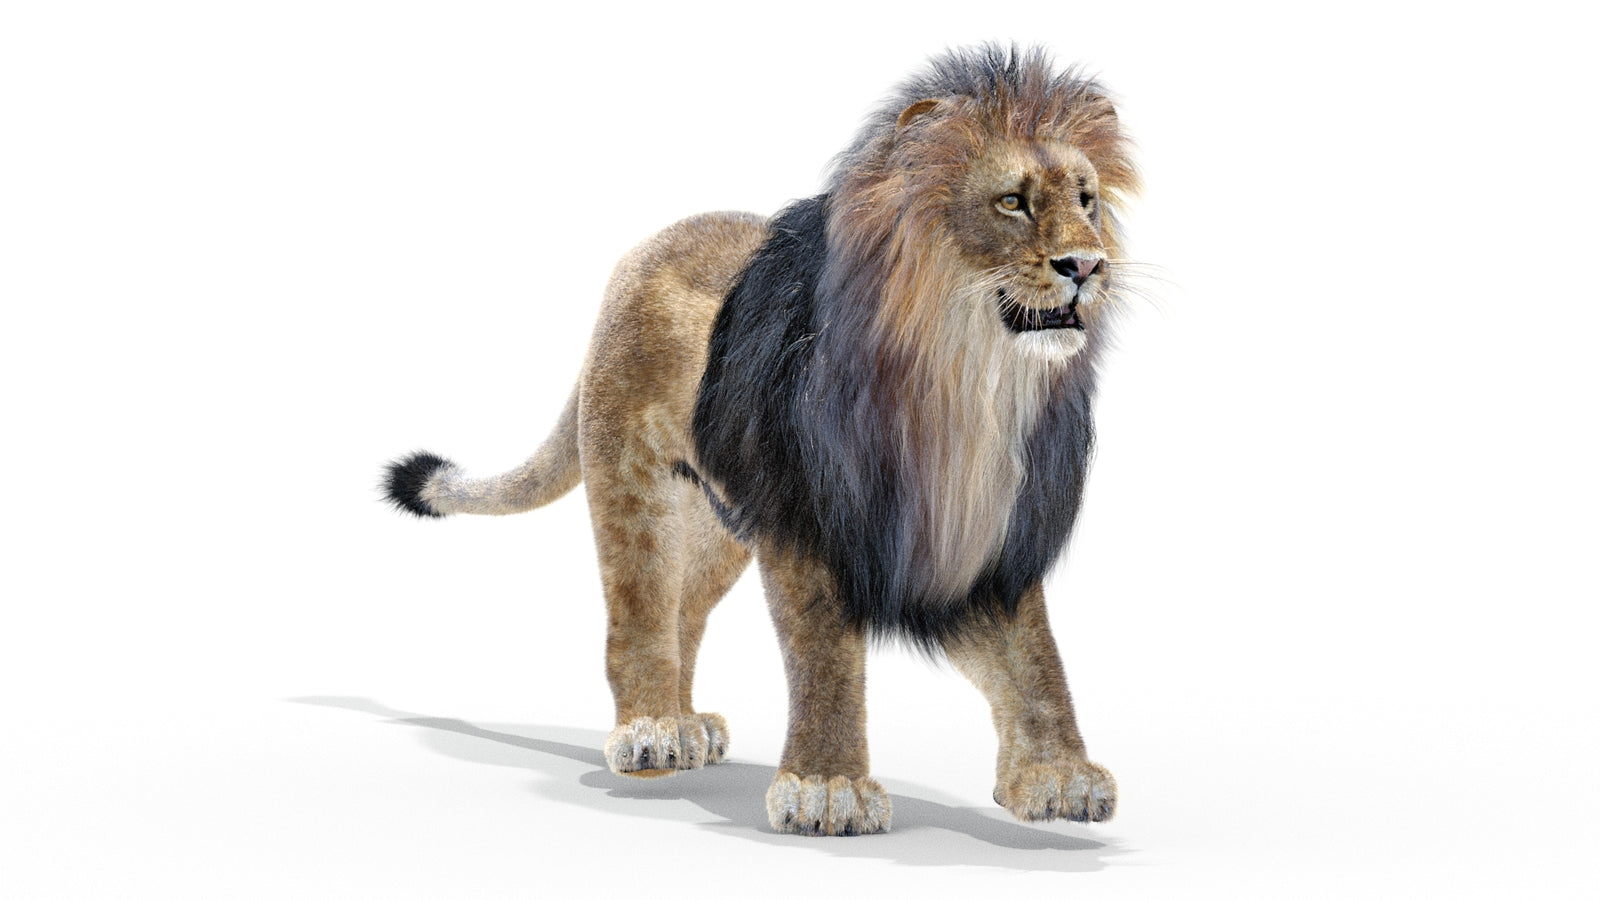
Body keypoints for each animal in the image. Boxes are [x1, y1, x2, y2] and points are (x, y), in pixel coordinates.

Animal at [382, 44, 1141, 836]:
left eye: (1085, 200)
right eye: (1012, 202)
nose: (1087, 265)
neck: (971, 383)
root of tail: (643, 249)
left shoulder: (983, 532)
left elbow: (1035, 659)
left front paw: (1059, 774)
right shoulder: (811, 521)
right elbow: (825, 655)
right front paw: (828, 786)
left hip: (723, 523)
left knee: (683, 612)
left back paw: (688, 725)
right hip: (634, 484)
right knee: (640, 612)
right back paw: (649, 731)